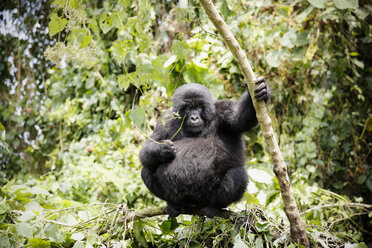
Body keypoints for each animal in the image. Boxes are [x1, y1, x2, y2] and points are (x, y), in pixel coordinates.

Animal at [140, 77, 270, 217]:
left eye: (198, 107)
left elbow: (240, 119)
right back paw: (174, 204)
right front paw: (163, 149)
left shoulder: (222, 110)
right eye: (188, 108)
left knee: (238, 174)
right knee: (147, 170)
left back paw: (214, 206)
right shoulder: (165, 121)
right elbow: (146, 151)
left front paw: (263, 90)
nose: (194, 117)